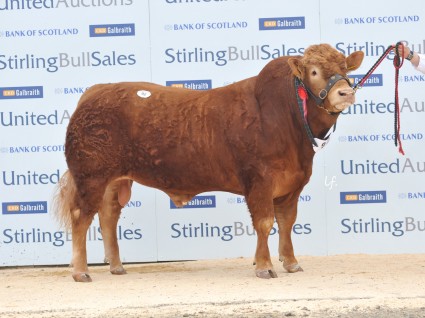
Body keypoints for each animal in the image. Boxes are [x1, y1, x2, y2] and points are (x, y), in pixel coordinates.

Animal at [54, 43, 362, 282]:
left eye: (345, 70)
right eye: (314, 72)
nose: (345, 93)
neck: (287, 118)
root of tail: (96, 91)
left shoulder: (292, 185)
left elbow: (287, 223)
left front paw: (291, 262)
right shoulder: (260, 181)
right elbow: (264, 223)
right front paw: (264, 267)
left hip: (115, 179)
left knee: (108, 216)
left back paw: (117, 267)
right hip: (91, 176)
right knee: (81, 216)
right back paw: (80, 271)